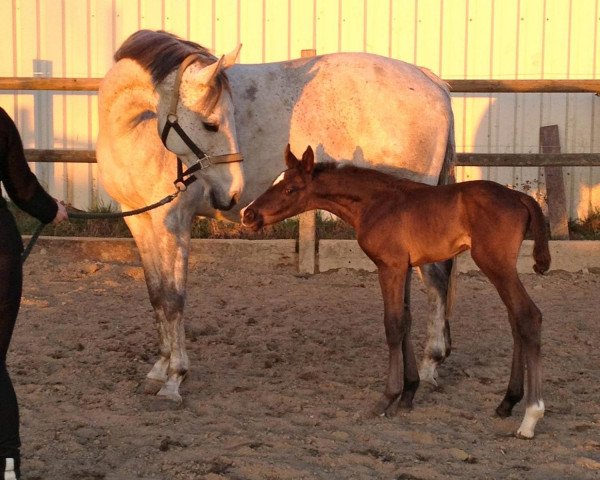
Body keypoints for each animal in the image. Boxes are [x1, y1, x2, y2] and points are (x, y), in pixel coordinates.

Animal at [241, 143, 552, 438]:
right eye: (276, 181)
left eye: (290, 188)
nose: (248, 215)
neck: (377, 203)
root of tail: (521, 197)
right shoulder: (404, 267)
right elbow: (405, 321)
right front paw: (408, 394)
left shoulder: (389, 266)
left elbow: (392, 325)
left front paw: (386, 399)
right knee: (515, 320)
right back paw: (507, 402)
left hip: (494, 263)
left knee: (528, 315)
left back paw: (530, 418)